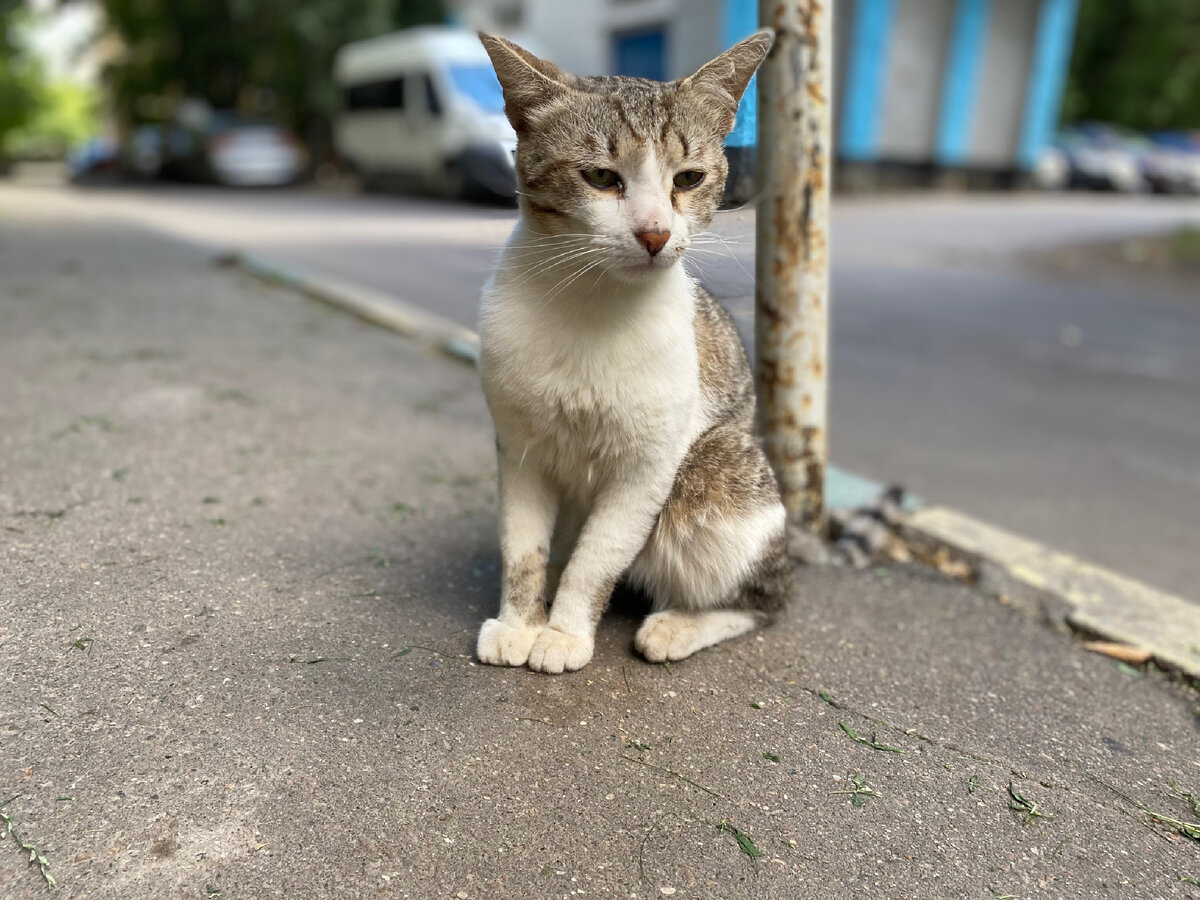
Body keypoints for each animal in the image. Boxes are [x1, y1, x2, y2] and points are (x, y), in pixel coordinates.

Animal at [472, 28, 792, 672]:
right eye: (601, 176)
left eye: (689, 179)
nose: (654, 233)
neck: (590, 300)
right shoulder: (519, 449)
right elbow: (522, 548)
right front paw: (520, 622)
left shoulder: (647, 469)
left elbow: (596, 559)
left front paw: (564, 633)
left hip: (715, 469)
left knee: (767, 599)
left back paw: (679, 625)